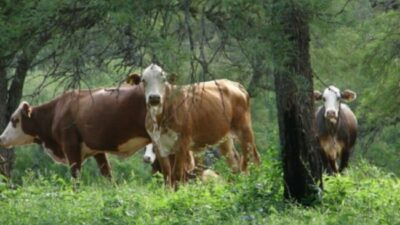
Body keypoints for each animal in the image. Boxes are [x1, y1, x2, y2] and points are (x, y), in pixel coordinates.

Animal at [0, 84, 150, 178]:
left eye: (14, 120)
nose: (1, 138)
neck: (57, 112)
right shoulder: (97, 150)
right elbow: (107, 174)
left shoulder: (71, 147)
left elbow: (75, 177)